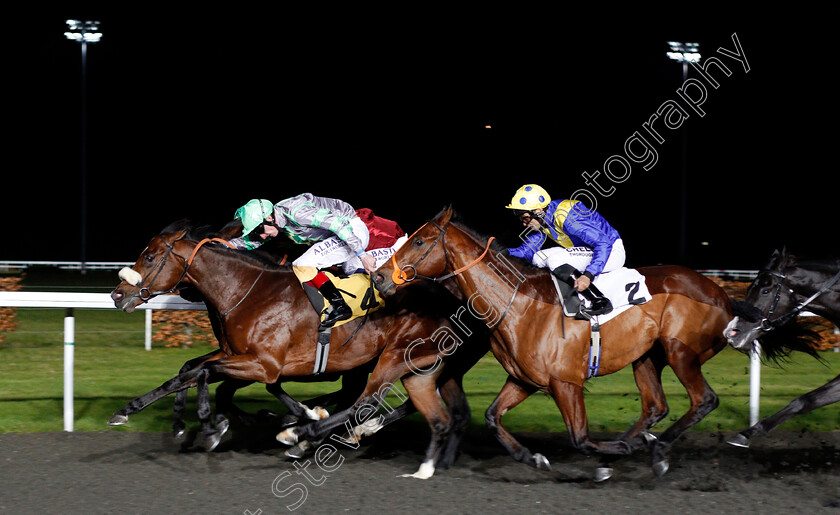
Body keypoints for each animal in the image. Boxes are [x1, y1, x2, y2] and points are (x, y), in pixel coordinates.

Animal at [108, 219, 486, 476]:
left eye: (150, 256)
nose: (117, 294)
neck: (246, 290)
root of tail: (450, 296)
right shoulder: (239, 355)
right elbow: (189, 370)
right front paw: (134, 411)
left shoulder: (263, 364)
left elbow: (206, 373)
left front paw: (210, 424)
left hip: (397, 356)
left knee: (369, 401)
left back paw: (318, 433)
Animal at [372, 207, 728, 480]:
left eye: (419, 240)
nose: (378, 277)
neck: (518, 304)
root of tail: (720, 293)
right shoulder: (524, 379)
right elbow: (492, 417)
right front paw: (533, 457)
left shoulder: (566, 383)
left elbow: (581, 439)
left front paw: (630, 447)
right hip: (647, 356)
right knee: (655, 406)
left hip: (680, 351)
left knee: (705, 400)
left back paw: (657, 450)